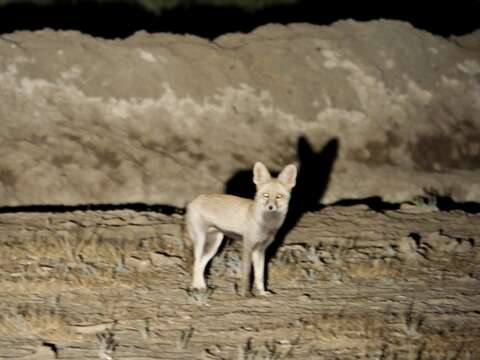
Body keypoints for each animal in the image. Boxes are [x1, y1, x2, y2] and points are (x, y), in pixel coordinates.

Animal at [184, 162, 296, 296]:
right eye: (266, 195)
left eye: (279, 196)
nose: (270, 207)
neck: (266, 225)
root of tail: (194, 200)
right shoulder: (248, 246)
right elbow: (247, 275)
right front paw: (246, 295)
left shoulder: (260, 250)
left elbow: (260, 276)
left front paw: (262, 293)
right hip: (201, 241)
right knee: (195, 263)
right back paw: (196, 287)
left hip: (214, 245)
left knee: (200, 265)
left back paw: (202, 287)